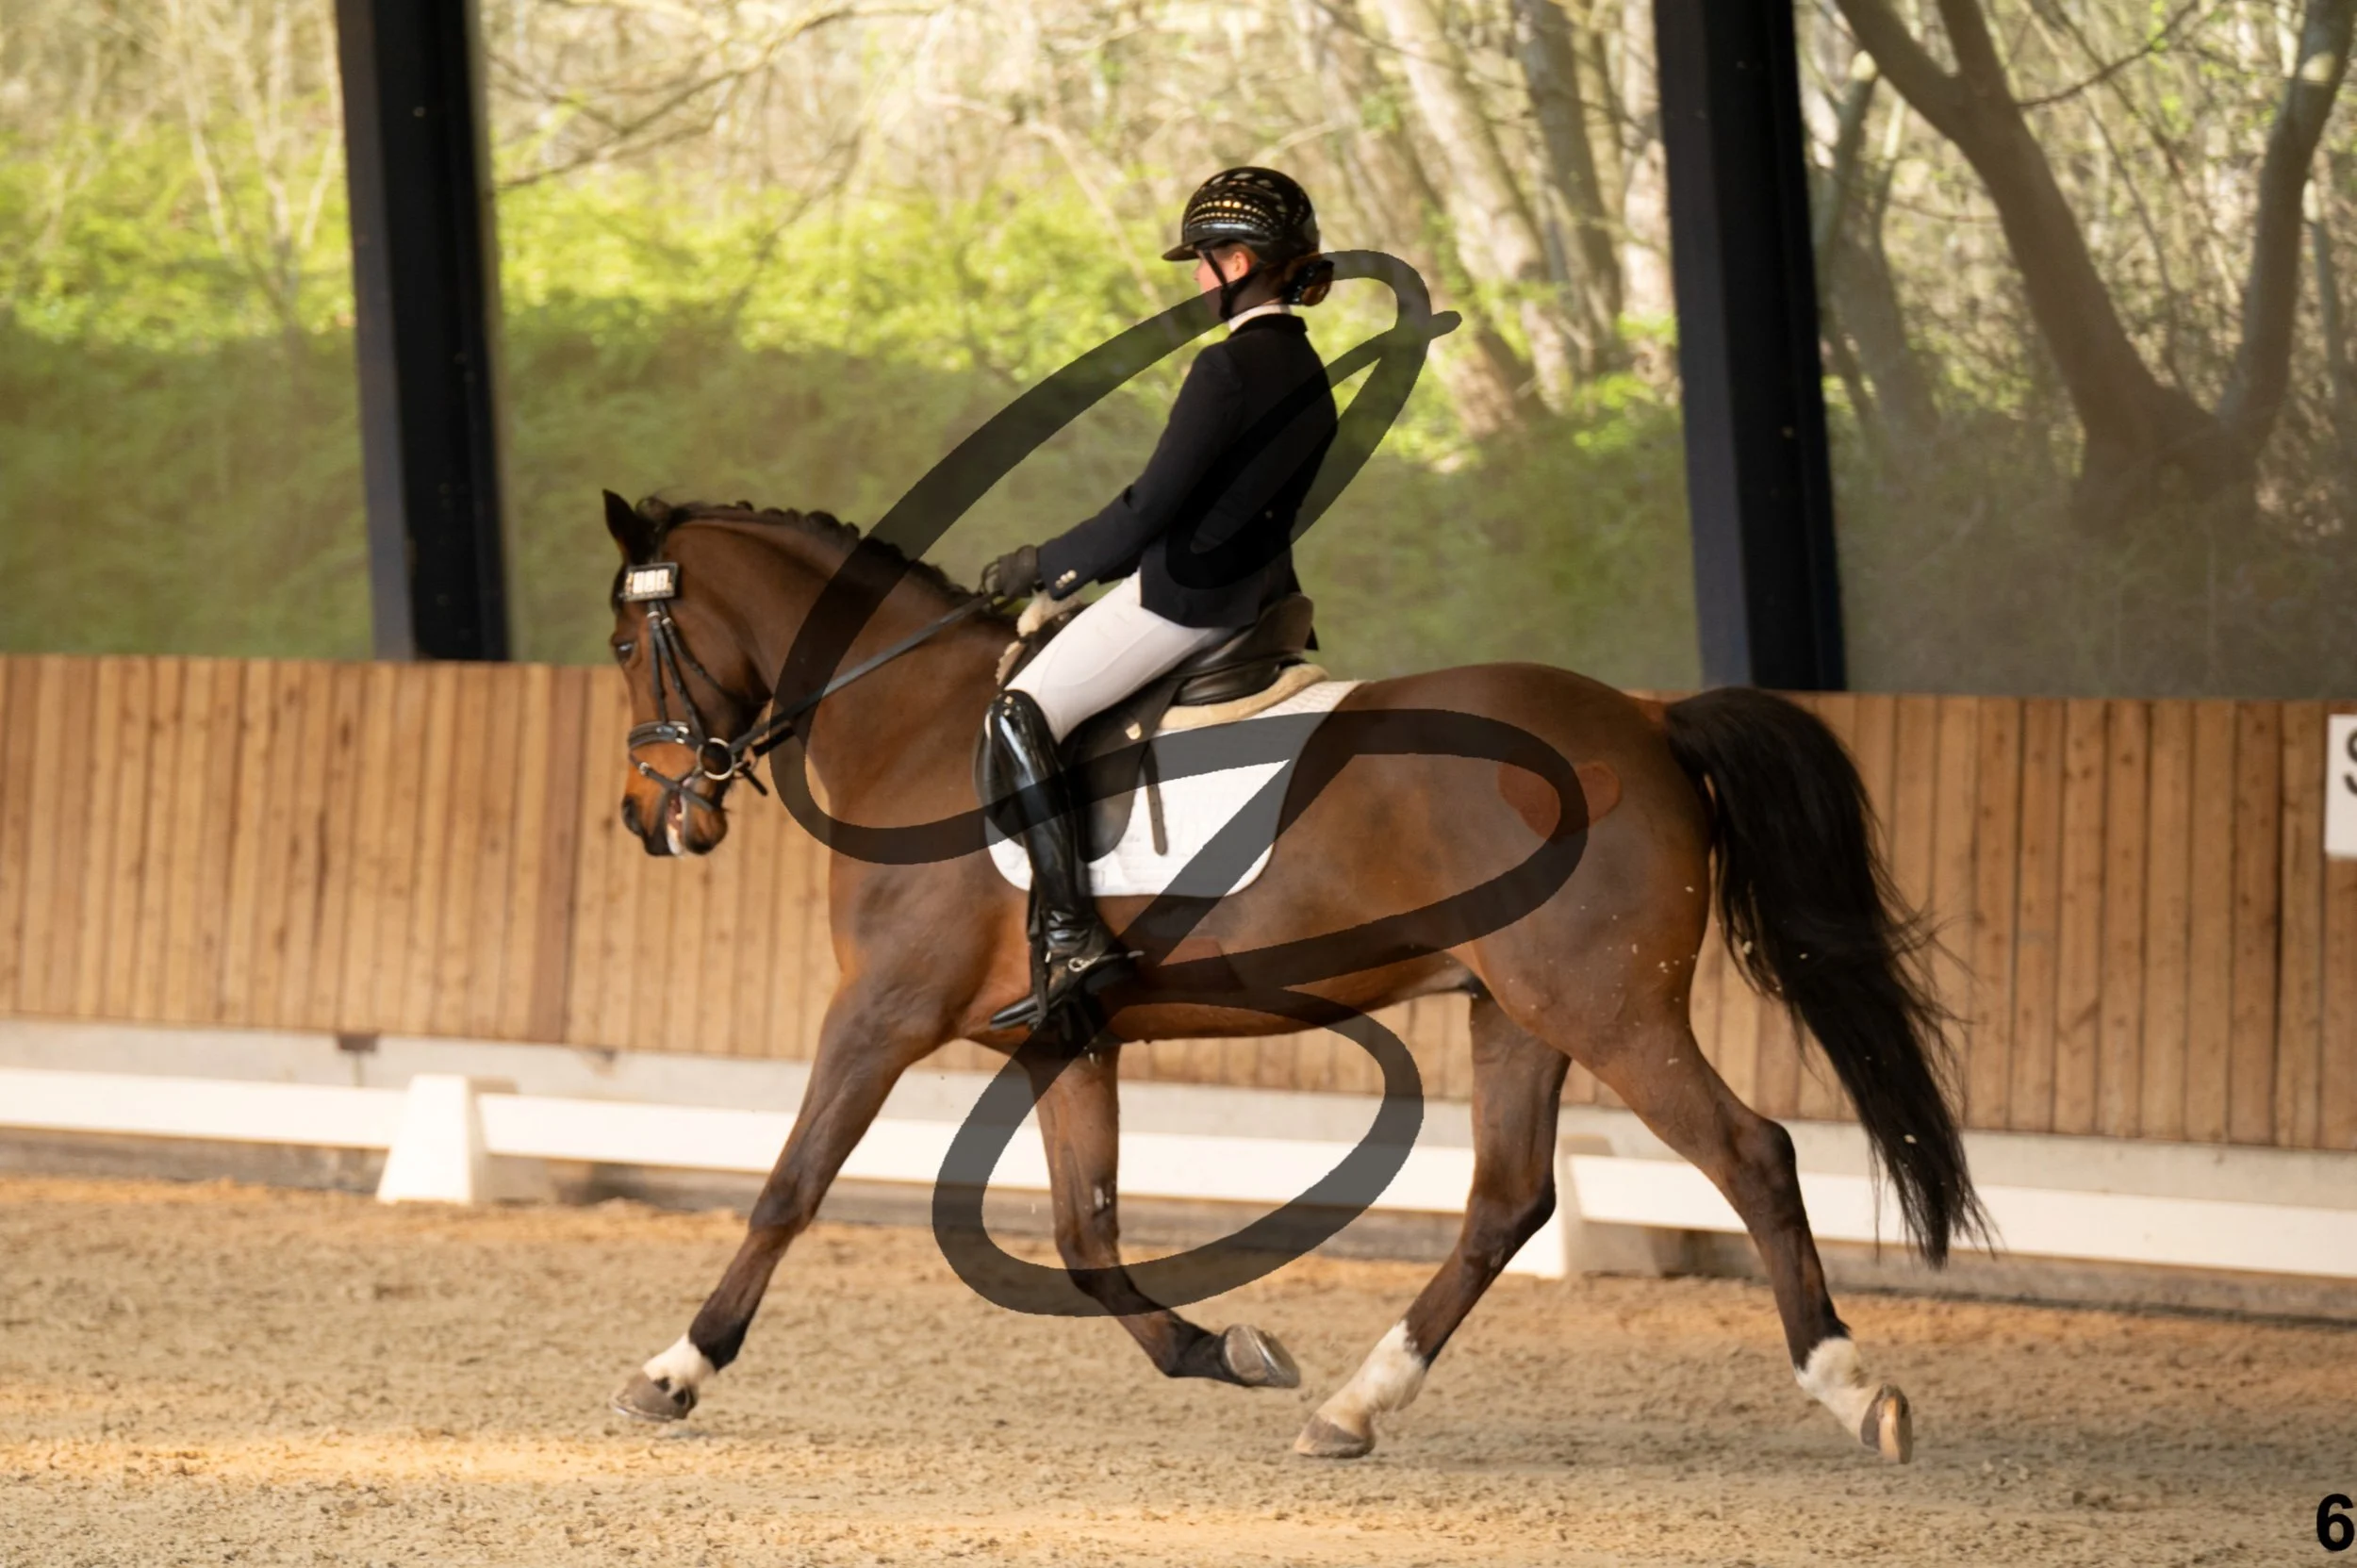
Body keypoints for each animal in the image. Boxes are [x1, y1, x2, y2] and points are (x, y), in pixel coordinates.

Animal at [598, 491, 1983, 1463]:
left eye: (622, 641)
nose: (649, 817)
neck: (915, 721)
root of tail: (1649, 717)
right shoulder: (1061, 1037)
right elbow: (1086, 1233)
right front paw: (1223, 1348)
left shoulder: (880, 1011)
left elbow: (789, 1187)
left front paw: (676, 1367)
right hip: (1516, 1011)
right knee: (1506, 1201)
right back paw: (1354, 1406)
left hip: (1605, 1005)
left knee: (1750, 1153)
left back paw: (1853, 1388)